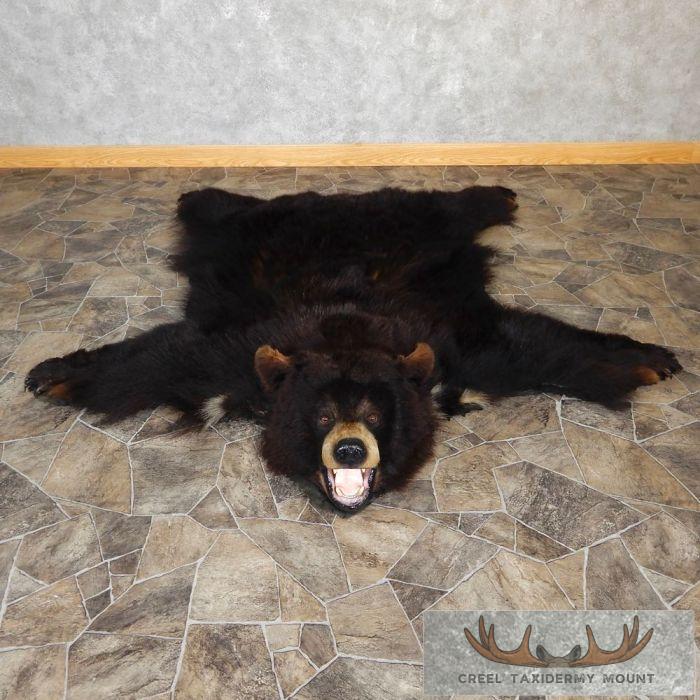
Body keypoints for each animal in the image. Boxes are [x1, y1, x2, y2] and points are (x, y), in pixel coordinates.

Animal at [25, 184, 681, 511]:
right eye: (318, 415)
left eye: (375, 411)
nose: (348, 448)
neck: (346, 333)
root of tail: (338, 201)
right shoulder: (241, 347)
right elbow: (163, 359)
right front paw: (56, 371)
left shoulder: (453, 341)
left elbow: (533, 347)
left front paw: (648, 357)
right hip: (260, 230)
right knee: (224, 210)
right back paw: (198, 192)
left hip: (412, 223)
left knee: (445, 203)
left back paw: (497, 192)